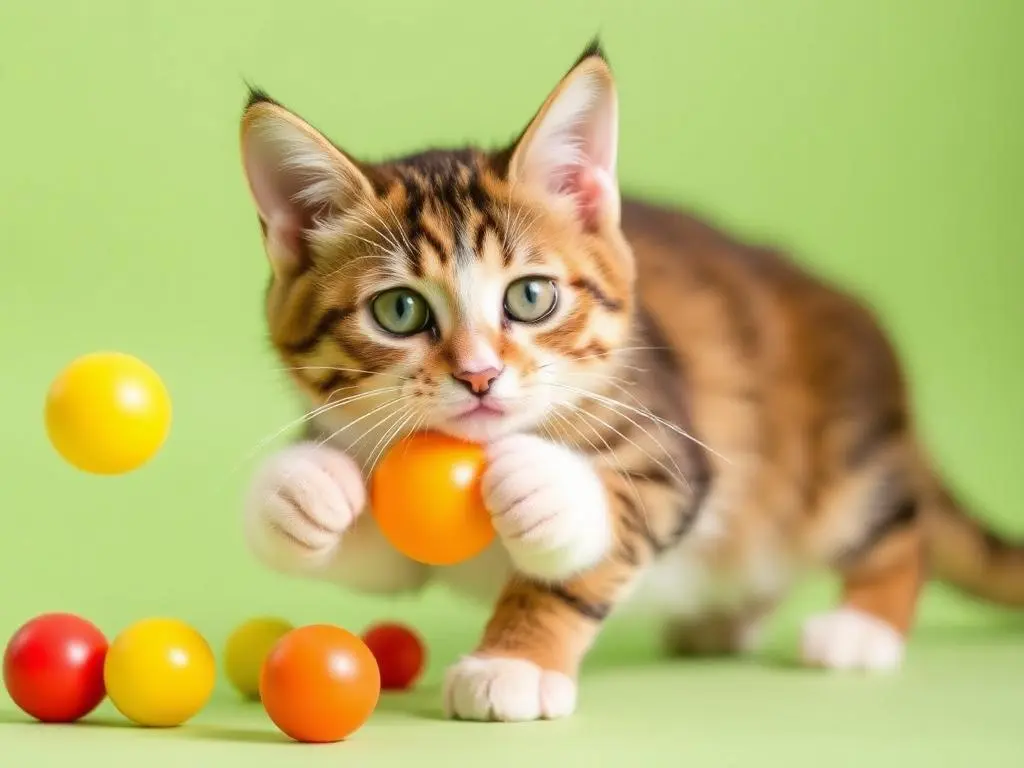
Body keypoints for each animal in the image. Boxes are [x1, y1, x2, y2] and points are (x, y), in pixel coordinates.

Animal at [237, 41, 1024, 724]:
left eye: (530, 297)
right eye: (399, 311)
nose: (480, 376)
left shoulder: (673, 438)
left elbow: (611, 521)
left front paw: (518, 646)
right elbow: (385, 562)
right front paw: (300, 493)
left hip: (844, 455)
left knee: (897, 531)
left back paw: (863, 628)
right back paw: (724, 621)